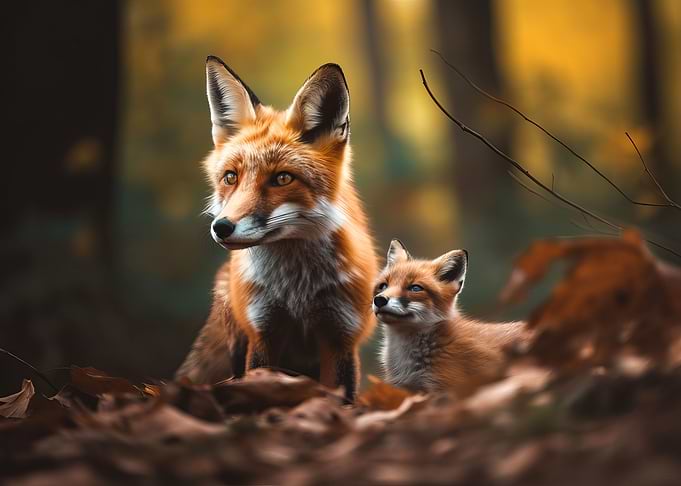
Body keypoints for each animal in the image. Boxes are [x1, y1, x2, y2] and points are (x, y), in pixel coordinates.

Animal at [175, 56, 377, 400]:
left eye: (282, 178)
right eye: (231, 177)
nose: (222, 227)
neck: (297, 291)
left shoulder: (340, 336)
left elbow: (344, 398)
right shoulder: (263, 331)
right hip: (236, 336)